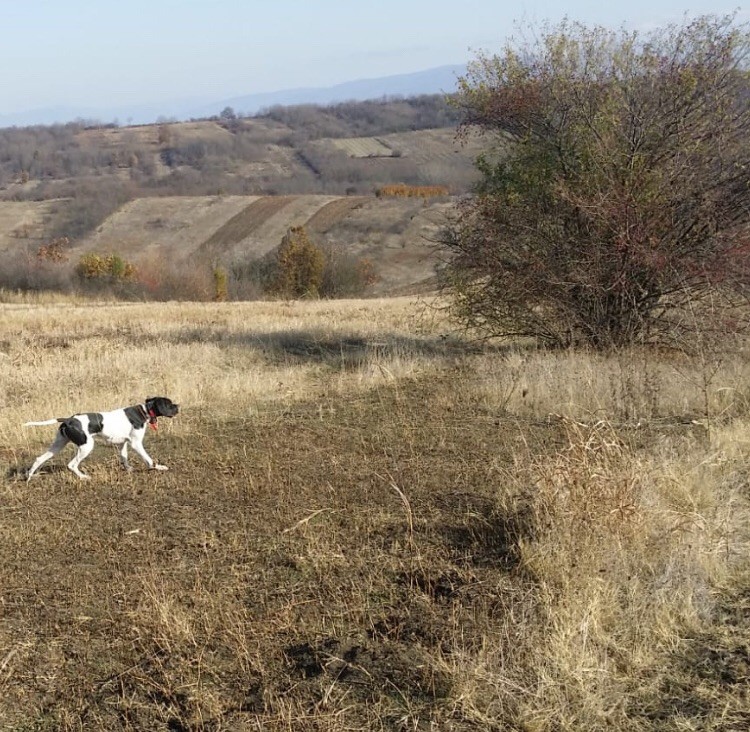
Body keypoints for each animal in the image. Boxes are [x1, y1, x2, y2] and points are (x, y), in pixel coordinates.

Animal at [23, 394, 179, 480]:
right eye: (169, 404)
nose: (178, 406)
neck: (145, 411)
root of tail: (68, 420)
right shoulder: (136, 444)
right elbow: (149, 460)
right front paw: (159, 467)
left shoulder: (123, 443)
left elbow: (124, 458)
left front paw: (129, 469)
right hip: (86, 446)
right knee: (71, 465)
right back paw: (83, 477)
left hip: (58, 445)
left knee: (39, 459)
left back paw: (30, 476)